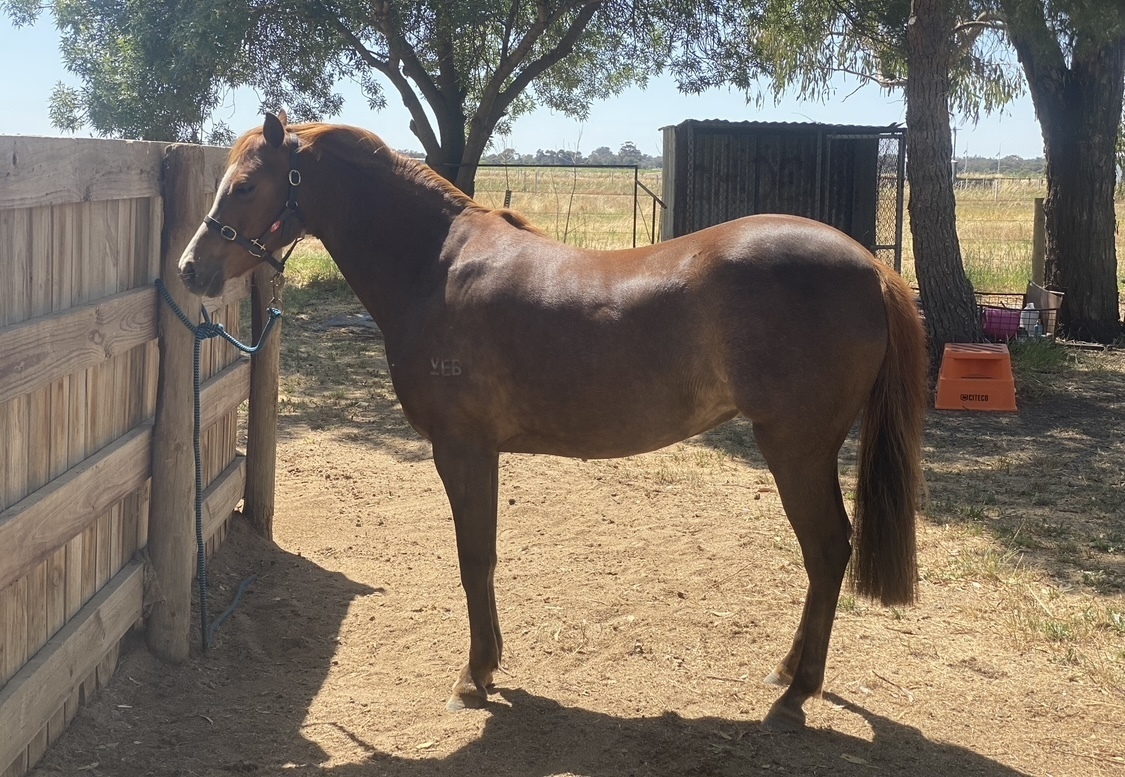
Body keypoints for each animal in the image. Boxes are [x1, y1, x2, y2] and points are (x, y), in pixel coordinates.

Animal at [178, 113, 927, 732]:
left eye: (245, 185)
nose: (191, 269)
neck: (434, 266)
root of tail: (869, 265)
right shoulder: (478, 451)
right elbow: (482, 555)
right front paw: (488, 665)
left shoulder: (462, 448)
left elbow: (474, 556)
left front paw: (473, 677)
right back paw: (788, 672)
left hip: (795, 446)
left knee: (826, 549)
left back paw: (795, 692)